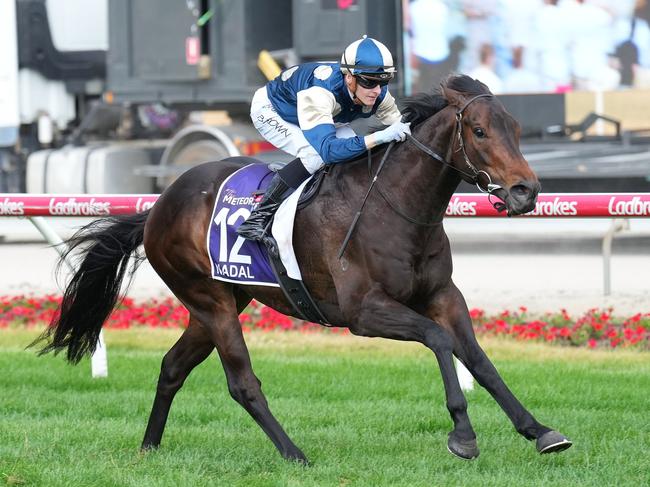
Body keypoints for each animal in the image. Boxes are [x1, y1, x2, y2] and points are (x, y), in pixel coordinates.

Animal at [36, 75, 572, 462]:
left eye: (516, 131)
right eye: (479, 131)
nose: (526, 191)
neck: (395, 205)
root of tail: (158, 206)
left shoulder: (442, 295)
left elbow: (478, 358)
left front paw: (540, 430)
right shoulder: (363, 312)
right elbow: (440, 341)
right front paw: (462, 434)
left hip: (221, 300)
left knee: (172, 367)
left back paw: (149, 447)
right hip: (211, 302)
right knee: (242, 384)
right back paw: (294, 453)